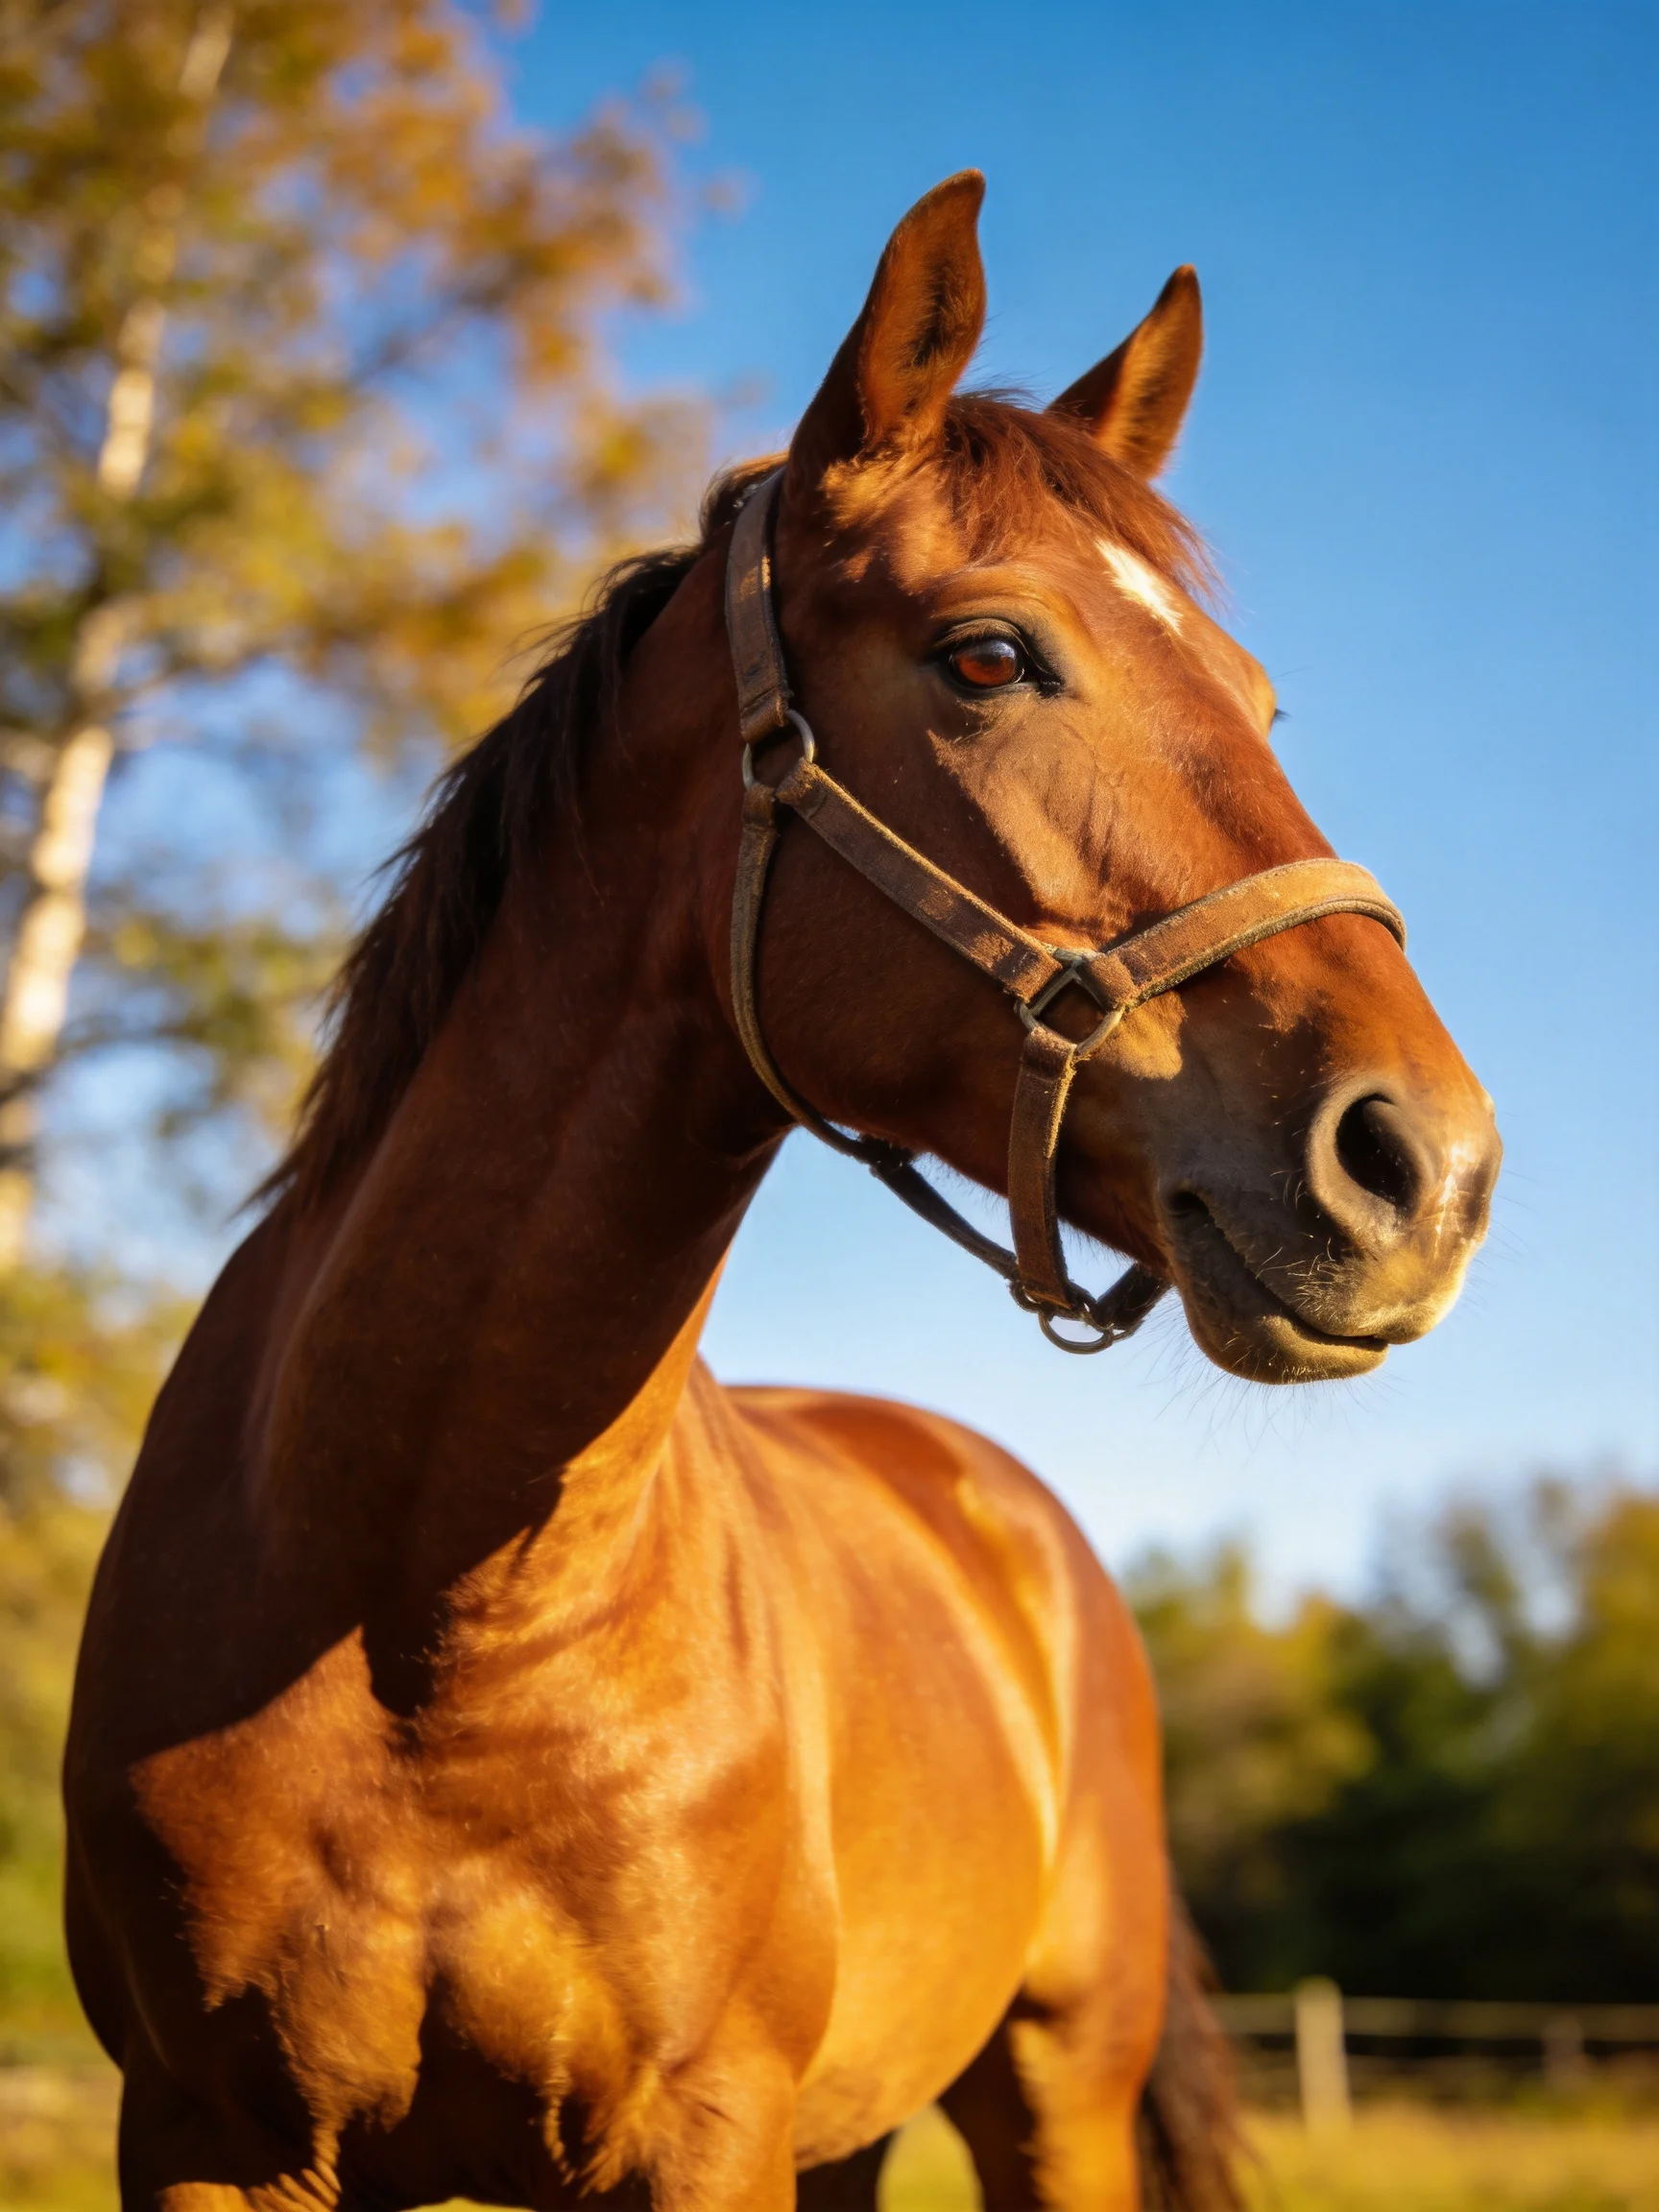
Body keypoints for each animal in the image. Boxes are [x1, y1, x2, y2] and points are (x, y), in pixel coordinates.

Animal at [64, 173, 1499, 2212]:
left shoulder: (702, 2131)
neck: (419, 1602)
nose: (1424, 1165)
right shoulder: (205, 2133)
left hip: (1050, 2093)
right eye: (987, 653)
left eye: (1255, 695)